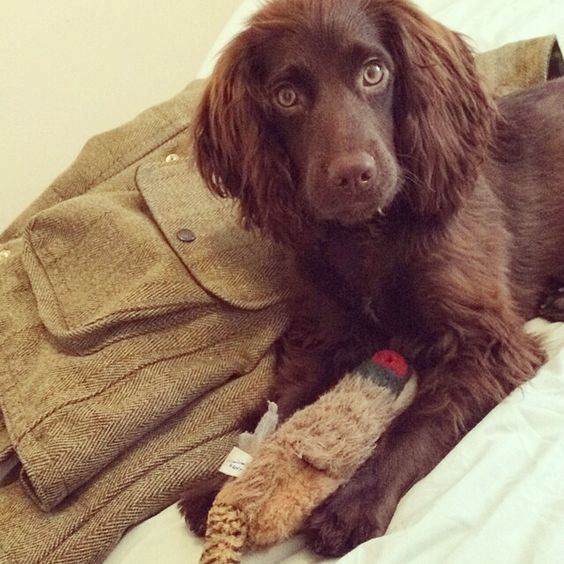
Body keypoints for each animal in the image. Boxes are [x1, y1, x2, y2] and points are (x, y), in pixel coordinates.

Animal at [180, 0, 564, 556]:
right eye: (286, 96)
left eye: (374, 72)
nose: (352, 176)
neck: (370, 235)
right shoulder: (323, 336)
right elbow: (279, 407)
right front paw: (221, 486)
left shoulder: (486, 343)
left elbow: (416, 423)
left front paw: (355, 505)